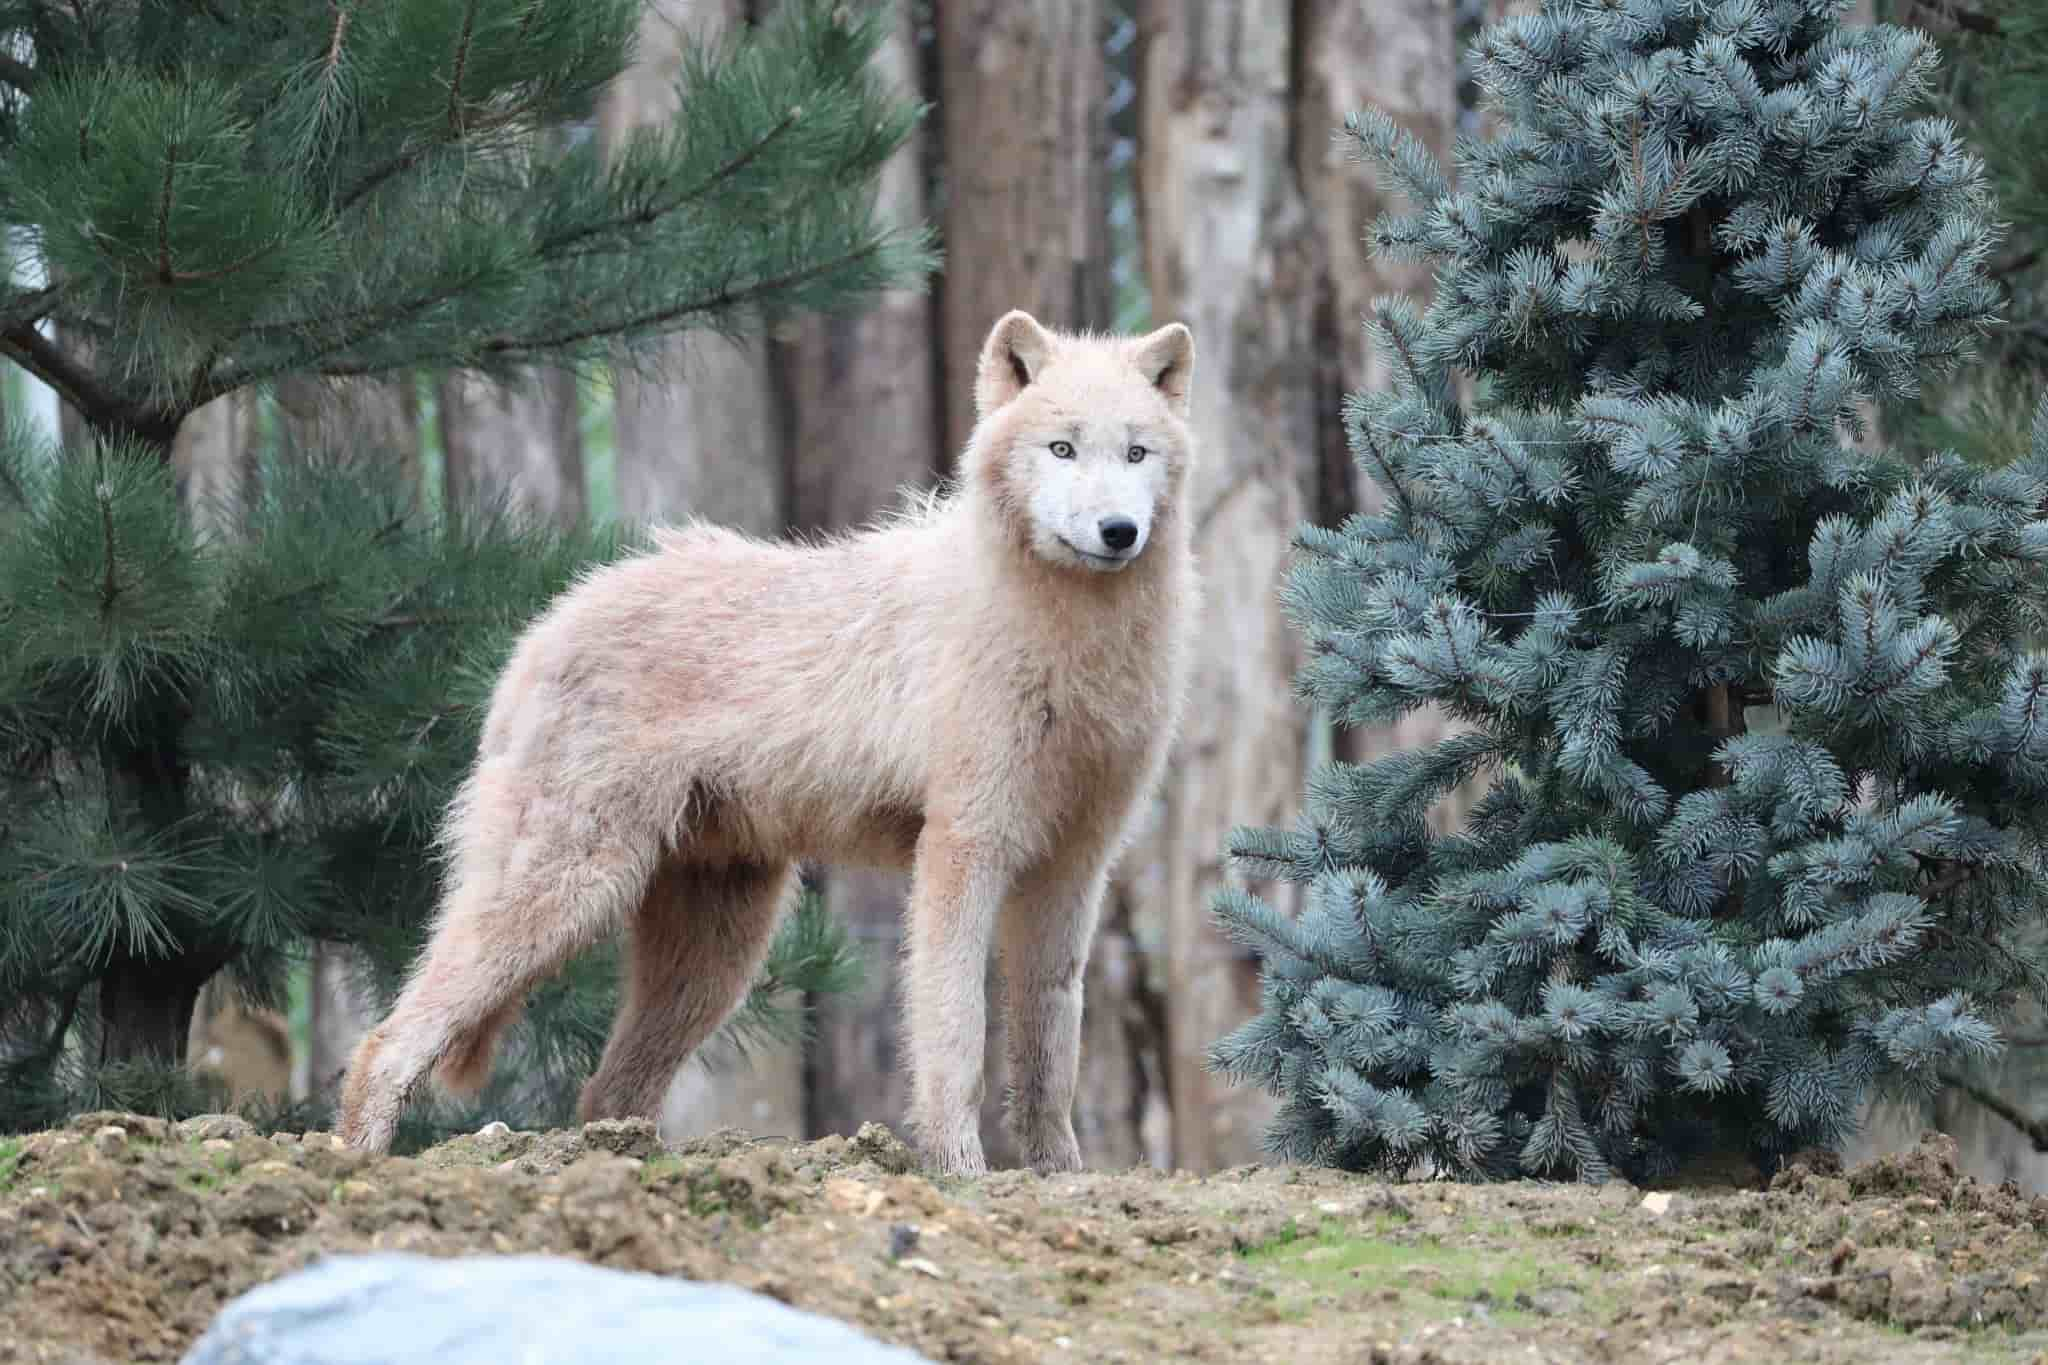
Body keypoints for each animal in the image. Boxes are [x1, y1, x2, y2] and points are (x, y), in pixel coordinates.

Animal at [335, 309, 1196, 1178]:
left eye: (1135, 452)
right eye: (1062, 448)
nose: (1118, 531)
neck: (1068, 646)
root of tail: (543, 626)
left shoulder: (1073, 868)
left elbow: (1052, 1049)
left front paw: (1060, 1176)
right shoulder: (964, 849)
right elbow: (955, 1037)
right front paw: (959, 1171)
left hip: (715, 955)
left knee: (604, 1091)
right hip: (574, 898)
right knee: (386, 1039)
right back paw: (356, 1160)